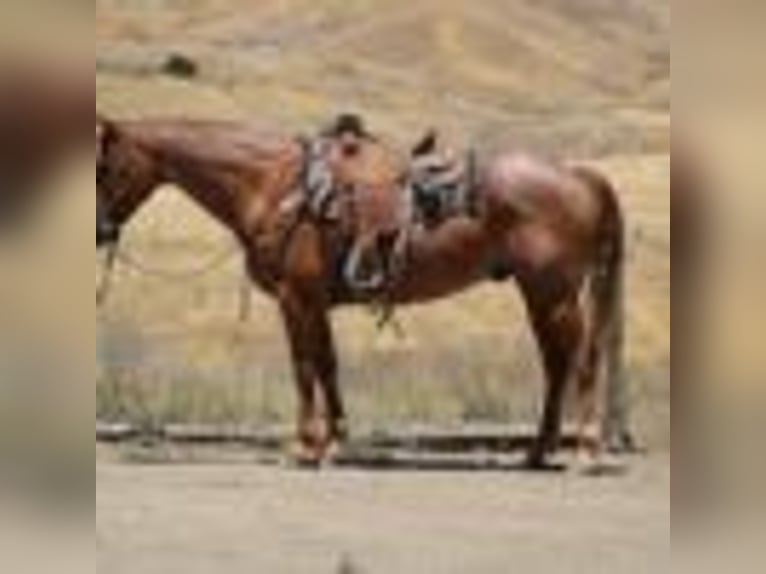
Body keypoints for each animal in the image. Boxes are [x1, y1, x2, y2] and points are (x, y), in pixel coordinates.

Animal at [96, 115, 633, 469]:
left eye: (104, 167)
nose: (100, 231)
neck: (272, 185)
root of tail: (580, 175)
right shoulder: (314, 303)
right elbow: (327, 365)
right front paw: (335, 441)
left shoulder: (296, 298)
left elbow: (303, 368)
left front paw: (305, 446)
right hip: (540, 294)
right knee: (557, 365)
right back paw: (539, 451)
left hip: (555, 293)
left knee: (581, 360)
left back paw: (584, 450)